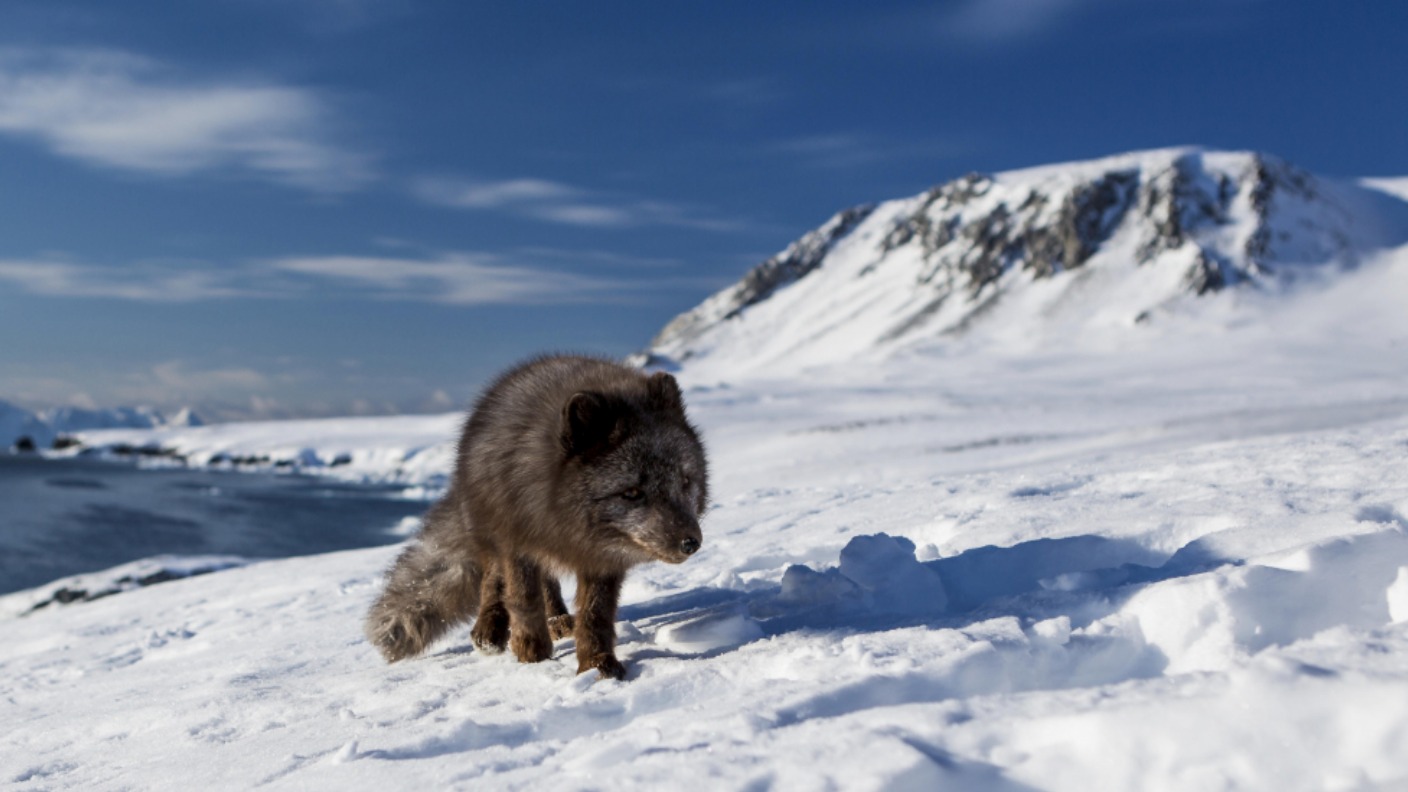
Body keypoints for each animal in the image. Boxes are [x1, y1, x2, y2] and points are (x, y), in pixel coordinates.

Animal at [368, 355, 709, 676]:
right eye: (633, 492)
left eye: (684, 481)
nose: (691, 543)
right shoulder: (517, 539)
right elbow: (522, 599)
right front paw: (532, 654)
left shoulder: (601, 558)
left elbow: (595, 614)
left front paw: (597, 665)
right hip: (493, 530)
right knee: (493, 580)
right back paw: (489, 631)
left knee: (548, 583)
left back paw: (557, 620)